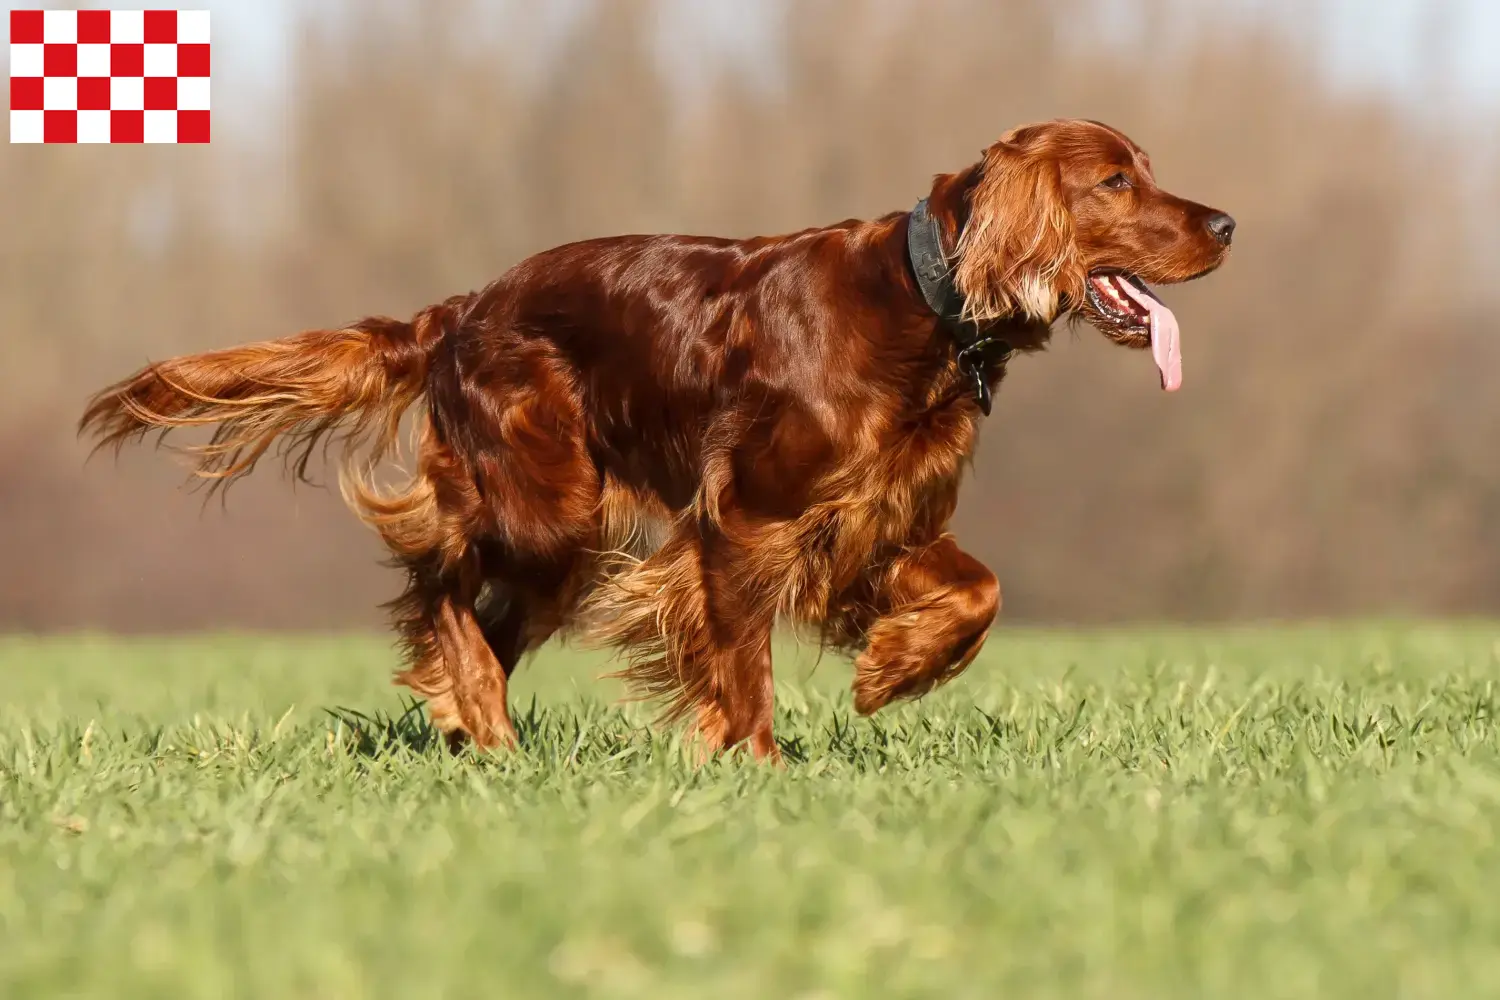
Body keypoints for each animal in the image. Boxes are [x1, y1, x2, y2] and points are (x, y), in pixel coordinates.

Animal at [79, 119, 1230, 758]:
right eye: (1115, 182)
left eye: (1146, 170)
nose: (1226, 224)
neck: (921, 301)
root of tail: (458, 311)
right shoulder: (744, 523)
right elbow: (743, 661)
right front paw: (756, 766)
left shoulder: (880, 522)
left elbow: (980, 591)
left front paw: (890, 673)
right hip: (549, 507)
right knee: (436, 575)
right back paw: (481, 718)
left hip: (564, 539)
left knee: (483, 620)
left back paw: (472, 722)